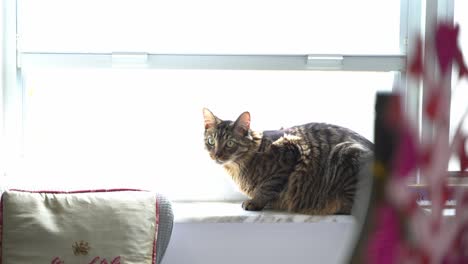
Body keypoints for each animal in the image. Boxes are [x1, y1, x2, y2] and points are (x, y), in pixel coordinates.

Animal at [202, 108, 372, 216]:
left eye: (230, 143)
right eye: (211, 141)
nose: (216, 155)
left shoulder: (291, 152)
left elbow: (267, 187)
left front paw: (255, 202)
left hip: (346, 153)